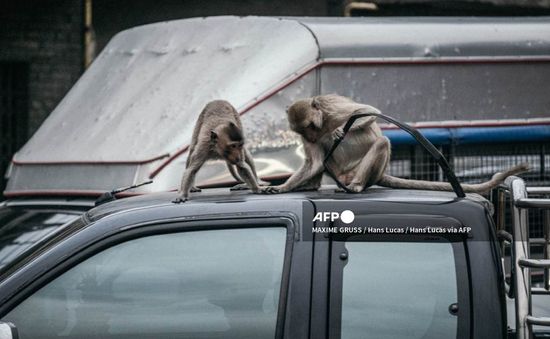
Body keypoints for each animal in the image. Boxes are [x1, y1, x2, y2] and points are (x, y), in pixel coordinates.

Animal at [264, 94, 532, 195]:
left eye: (310, 126)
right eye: (302, 131)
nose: (310, 137)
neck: (323, 123)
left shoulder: (332, 106)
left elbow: (368, 112)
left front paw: (340, 130)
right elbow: (315, 162)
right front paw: (282, 187)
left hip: (365, 171)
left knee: (382, 141)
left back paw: (357, 186)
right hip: (340, 172)